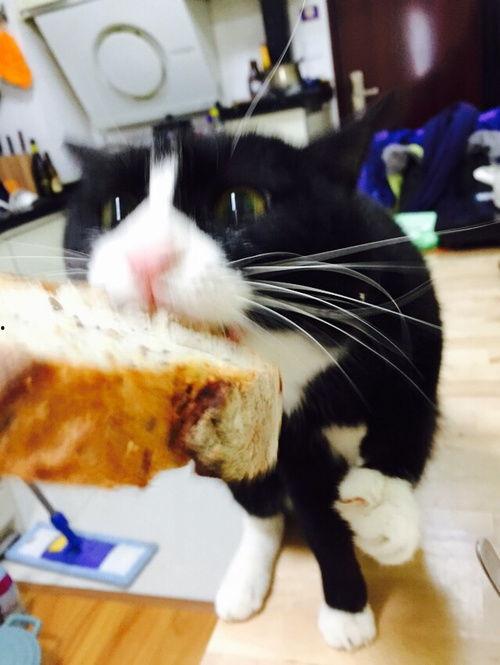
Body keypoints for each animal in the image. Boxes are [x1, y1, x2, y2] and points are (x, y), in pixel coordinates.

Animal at [64, 107, 442, 651]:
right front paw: (347, 608)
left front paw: (387, 514)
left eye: (242, 203)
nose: (147, 258)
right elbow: (320, 523)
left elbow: (411, 424)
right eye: (115, 210)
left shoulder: (414, 325)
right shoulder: (292, 449)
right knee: (261, 511)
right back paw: (244, 580)